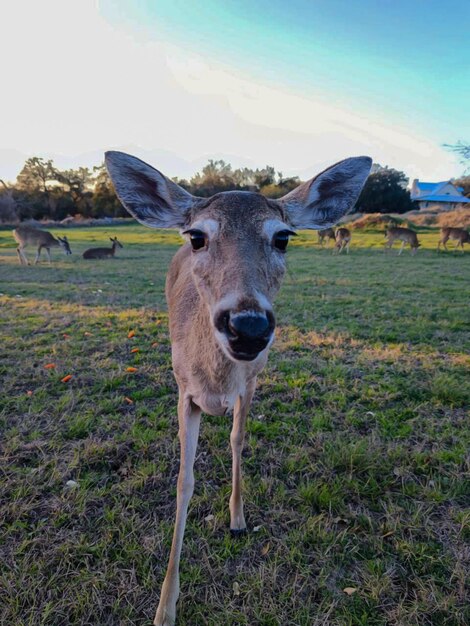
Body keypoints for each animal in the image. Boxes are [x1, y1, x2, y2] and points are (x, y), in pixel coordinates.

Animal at [104, 149, 372, 620]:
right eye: (198, 236)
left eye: (283, 238)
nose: (248, 326)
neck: (216, 381)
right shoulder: (184, 391)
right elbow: (184, 481)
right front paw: (165, 607)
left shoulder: (252, 381)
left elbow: (238, 440)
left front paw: (237, 518)